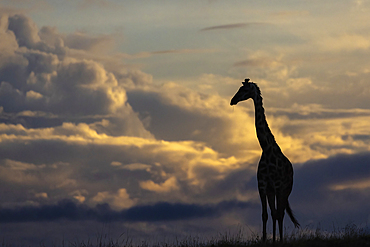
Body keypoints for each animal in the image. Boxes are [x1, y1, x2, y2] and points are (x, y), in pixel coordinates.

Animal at [230, 78, 300, 241]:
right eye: (239, 89)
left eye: (244, 90)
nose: (232, 100)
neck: (267, 150)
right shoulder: (263, 186)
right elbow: (265, 215)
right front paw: (264, 239)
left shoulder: (278, 186)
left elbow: (277, 214)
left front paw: (277, 240)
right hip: (272, 191)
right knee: (275, 213)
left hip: (286, 189)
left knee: (281, 213)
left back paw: (280, 239)